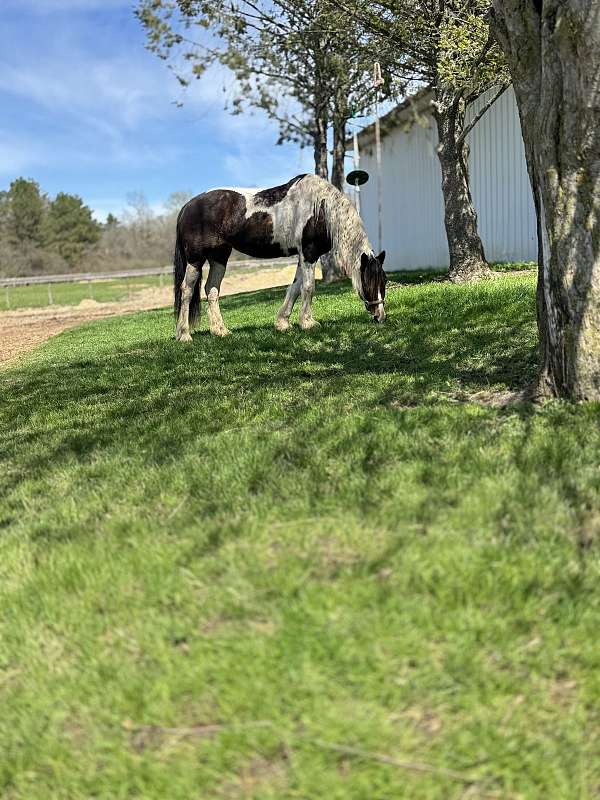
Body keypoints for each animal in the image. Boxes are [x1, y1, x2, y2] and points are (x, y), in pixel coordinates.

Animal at [173, 173, 386, 341]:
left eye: (383, 281)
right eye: (368, 281)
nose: (380, 316)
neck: (321, 210)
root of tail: (187, 206)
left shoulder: (304, 256)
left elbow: (295, 288)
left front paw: (283, 322)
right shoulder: (309, 253)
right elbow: (308, 287)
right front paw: (307, 322)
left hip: (219, 256)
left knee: (212, 290)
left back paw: (220, 330)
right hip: (195, 259)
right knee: (187, 290)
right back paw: (184, 335)